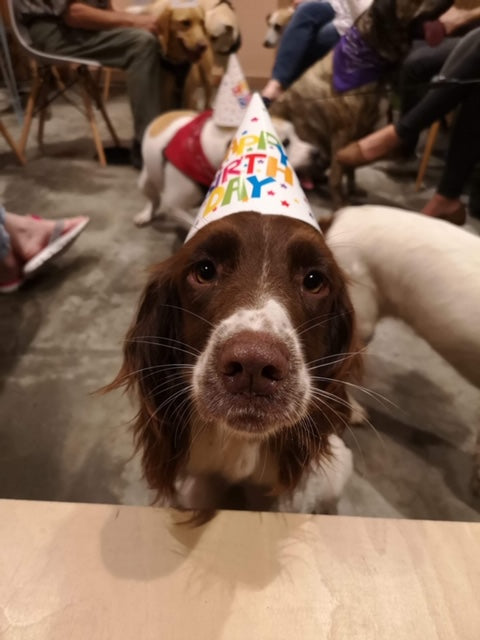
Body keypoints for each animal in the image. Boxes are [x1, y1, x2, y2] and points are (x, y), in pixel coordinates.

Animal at [133, 110, 316, 228]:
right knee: (153, 199)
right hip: (145, 182)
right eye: (285, 143)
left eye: (297, 135)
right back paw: (145, 214)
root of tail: (163, 115)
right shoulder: (174, 207)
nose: (317, 153)